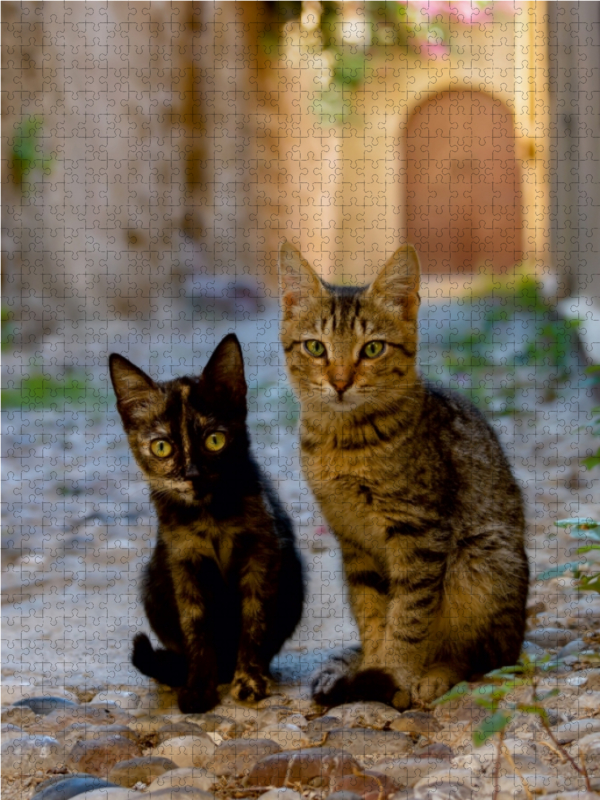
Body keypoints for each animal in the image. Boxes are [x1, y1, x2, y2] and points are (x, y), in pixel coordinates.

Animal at [109, 332, 304, 712]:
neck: (209, 517)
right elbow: (195, 626)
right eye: (161, 447)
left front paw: (249, 679)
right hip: (152, 580)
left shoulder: (263, 552)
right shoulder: (182, 560)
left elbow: (254, 620)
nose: (193, 474)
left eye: (215, 440)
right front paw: (199, 686)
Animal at [278, 242, 528, 708]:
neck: (343, 443)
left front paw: (394, 673)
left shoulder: (419, 532)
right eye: (316, 348)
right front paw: (376, 665)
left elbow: (409, 615)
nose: (340, 382)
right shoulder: (352, 539)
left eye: (373, 348)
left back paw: (434, 674)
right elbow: (372, 612)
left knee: (485, 654)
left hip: (482, 561)